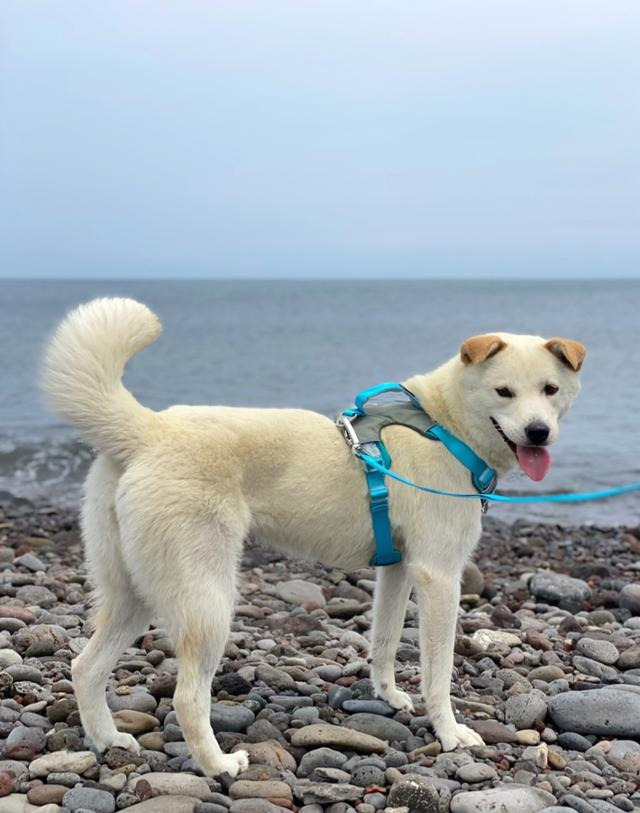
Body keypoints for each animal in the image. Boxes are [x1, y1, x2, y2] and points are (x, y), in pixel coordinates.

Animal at [41, 296, 584, 772]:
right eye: (504, 392)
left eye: (550, 390)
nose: (538, 432)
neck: (444, 426)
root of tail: (149, 431)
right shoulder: (439, 578)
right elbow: (439, 673)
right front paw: (450, 733)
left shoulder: (398, 571)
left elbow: (385, 641)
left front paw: (389, 696)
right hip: (206, 601)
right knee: (187, 697)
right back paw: (219, 765)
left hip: (133, 593)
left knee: (85, 668)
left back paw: (108, 739)